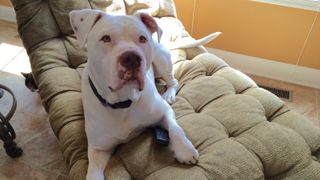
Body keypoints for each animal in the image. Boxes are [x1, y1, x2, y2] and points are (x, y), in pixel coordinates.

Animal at [70, 9, 200, 179]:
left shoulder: (164, 111)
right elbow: (93, 174)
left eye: (142, 38)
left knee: (173, 81)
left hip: (161, 61)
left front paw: (185, 149)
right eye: (105, 38)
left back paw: (169, 94)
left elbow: (175, 128)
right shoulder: (98, 149)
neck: (123, 102)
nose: (131, 57)